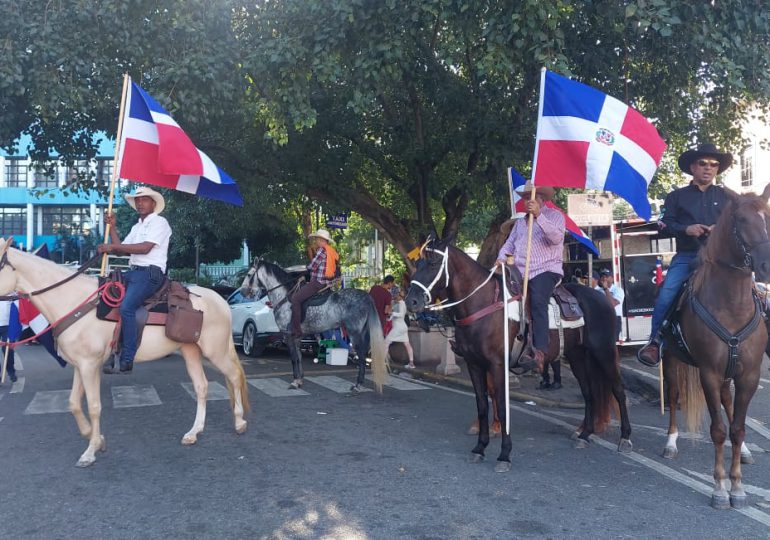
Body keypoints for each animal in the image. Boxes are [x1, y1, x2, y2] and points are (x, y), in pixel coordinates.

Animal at [0, 238, 248, 466]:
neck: (74, 302)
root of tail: (220, 300)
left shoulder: (90, 365)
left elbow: (94, 406)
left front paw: (90, 451)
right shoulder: (80, 366)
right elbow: (73, 404)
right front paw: (95, 438)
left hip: (215, 351)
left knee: (234, 376)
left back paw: (239, 422)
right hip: (190, 350)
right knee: (201, 387)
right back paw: (194, 432)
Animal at [240, 258, 388, 392]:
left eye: (249, 275)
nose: (243, 292)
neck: (285, 297)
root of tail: (366, 296)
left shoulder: (288, 335)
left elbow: (294, 358)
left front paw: (295, 382)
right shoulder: (297, 336)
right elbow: (299, 357)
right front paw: (299, 380)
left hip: (355, 333)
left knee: (362, 356)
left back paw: (357, 385)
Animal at [402, 236, 632, 472]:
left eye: (433, 263)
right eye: (417, 264)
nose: (411, 301)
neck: (483, 305)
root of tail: (602, 298)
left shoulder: (497, 365)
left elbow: (502, 407)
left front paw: (504, 454)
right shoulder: (475, 364)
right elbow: (482, 406)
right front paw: (480, 448)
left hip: (604, 352)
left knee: (618, 391)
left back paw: (624, 438)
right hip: (577, 355)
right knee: (589, 393)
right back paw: (585, 435)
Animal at [656, 184, 768, 508]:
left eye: (768, 216)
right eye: (741, 219)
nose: (766, 264)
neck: (732, 305)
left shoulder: (749, 375)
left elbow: (738, 428)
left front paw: (738, 487)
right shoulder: (708, 372)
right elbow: (718, 430)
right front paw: (720, 488)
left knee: (727, 401)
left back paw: (745, 452)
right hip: (672, 360)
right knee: (674, 395)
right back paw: (671, 442)